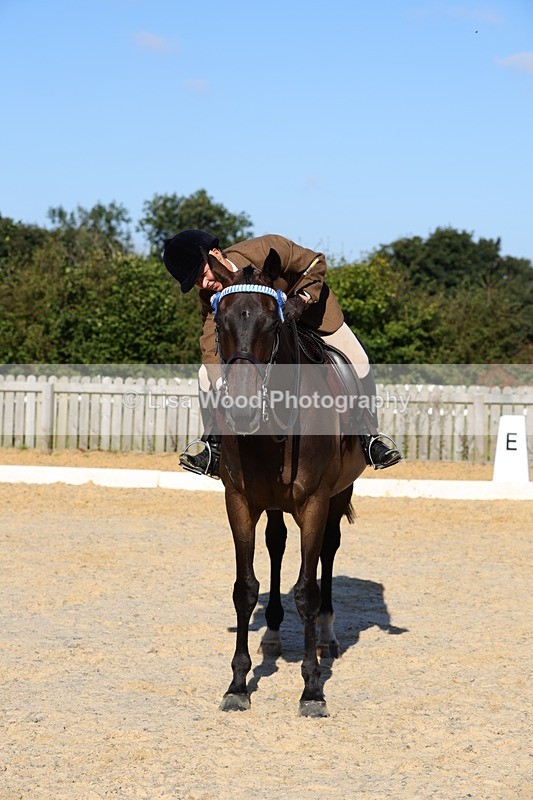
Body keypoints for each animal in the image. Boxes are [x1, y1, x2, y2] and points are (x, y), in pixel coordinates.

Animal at [206, 248, 367, 717]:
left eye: (272, 325)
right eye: (220, 323)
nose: (242, 408)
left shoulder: (314, 502)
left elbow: (307, 591)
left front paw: (312, 689)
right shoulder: (239, 502)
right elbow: (245, 589)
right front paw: (238, 684)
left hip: (338, 494)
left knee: (328, 551)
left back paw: (328, 637)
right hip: (274, 503)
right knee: (276, 544)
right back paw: (274, 635)